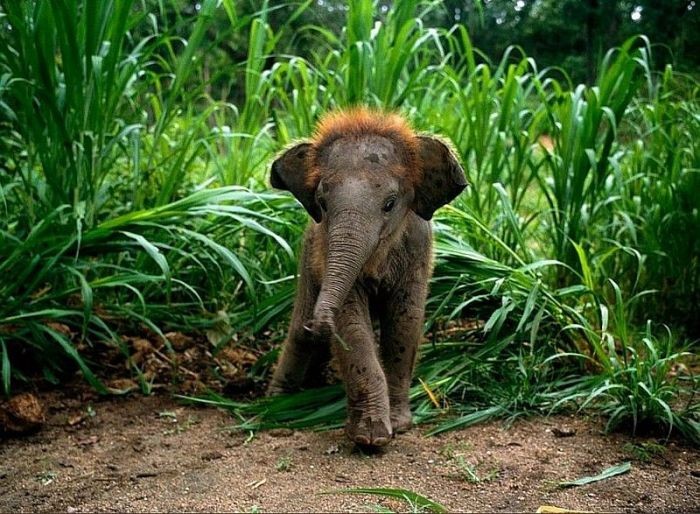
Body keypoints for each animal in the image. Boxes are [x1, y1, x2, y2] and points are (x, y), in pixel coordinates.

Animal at [266, 107, 464, 444]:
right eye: (322, 203)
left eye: (390, 204)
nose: (320, 324)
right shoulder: (324, 252)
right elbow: (353, 326)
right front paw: (370, 438)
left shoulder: (418, 250)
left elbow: (405, 321)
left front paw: (397, 426)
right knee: (299, 336)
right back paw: (276, 405)